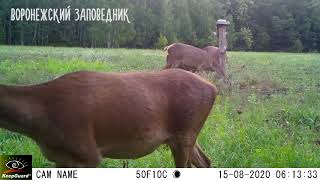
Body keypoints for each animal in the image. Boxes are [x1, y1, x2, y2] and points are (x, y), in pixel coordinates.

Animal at [0, 69, 218, 167]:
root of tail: (213, 88)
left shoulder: (88, 153)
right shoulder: (60, 159)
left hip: (185, 133)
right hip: (183, 136)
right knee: (206, 161)